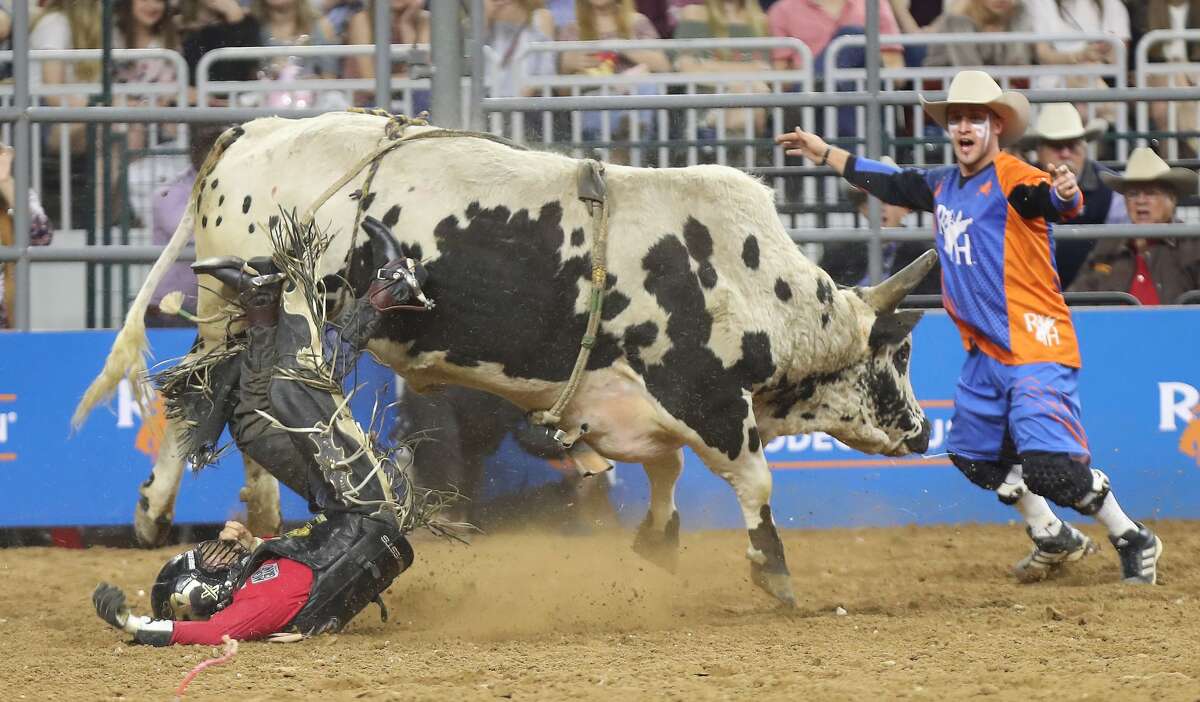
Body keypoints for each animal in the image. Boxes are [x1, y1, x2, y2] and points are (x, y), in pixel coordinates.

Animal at [73, 112, 934, 606]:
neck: (749, 278)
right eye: (898, 353)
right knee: (198, 395)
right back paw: (164, 507)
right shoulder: (708, 399)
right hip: (247, 309)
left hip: (235, 312)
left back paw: (231, 510)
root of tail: (253, 131)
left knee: (213, 398)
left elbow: (662, 471)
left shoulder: (628, 406)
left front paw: (656, 542)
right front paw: (774, 571)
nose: (925, 429)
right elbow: (753, 481)